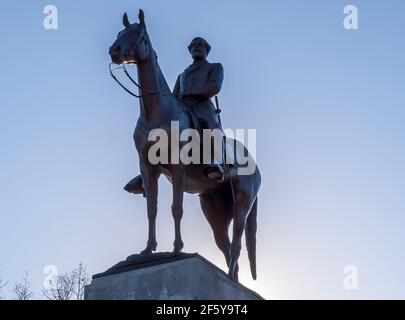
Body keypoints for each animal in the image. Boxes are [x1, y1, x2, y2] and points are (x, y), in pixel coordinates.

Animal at [107, 8, 260, 282]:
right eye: (119, 33)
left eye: (138, 34)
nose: (114, 50)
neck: (156, 114)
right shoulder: (148, 169)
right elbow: (152, 209)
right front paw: (147, 250)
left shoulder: (178, 166)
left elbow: (175, 208)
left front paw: (177, 249)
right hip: (215, 210)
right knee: (224, 244)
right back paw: (231, 279)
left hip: (242, 204)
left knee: (236, 243)